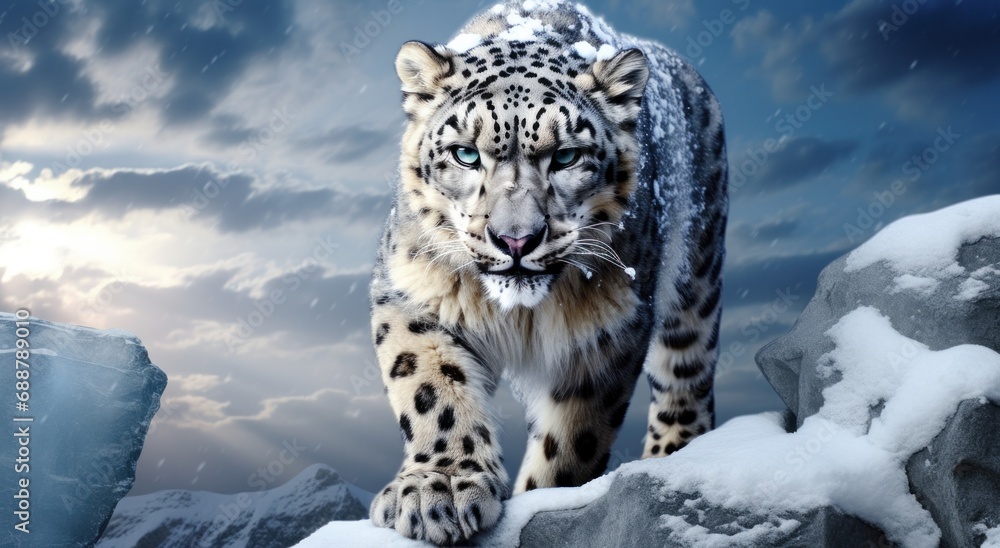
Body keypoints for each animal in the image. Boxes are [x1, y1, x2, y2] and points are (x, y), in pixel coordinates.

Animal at [367, 0, 728, 543]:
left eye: (566, 156)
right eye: (465, 153)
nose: (516, 239)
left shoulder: (606, 331)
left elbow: (571, 442)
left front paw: (539, 500)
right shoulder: (411, 292)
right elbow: (429, 387)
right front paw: (440, 487)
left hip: (696, 280)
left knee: (687, 377)